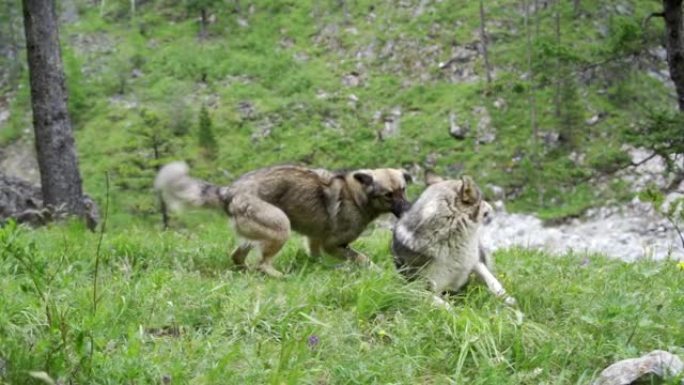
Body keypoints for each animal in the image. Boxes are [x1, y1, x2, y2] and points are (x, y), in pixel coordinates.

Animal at [155, 162, 412, 276]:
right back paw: (276, 275)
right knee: (262, 262)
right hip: (280, 225)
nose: (409, 209)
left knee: (237, 256)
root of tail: (229, 191)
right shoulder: (333, 244)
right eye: (388, 195)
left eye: (403, 189)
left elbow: (315, 255)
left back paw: (246, 271)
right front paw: (376, 270)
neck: (357, 197)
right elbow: (362, 258)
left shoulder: (315, 239)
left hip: (256, 232)